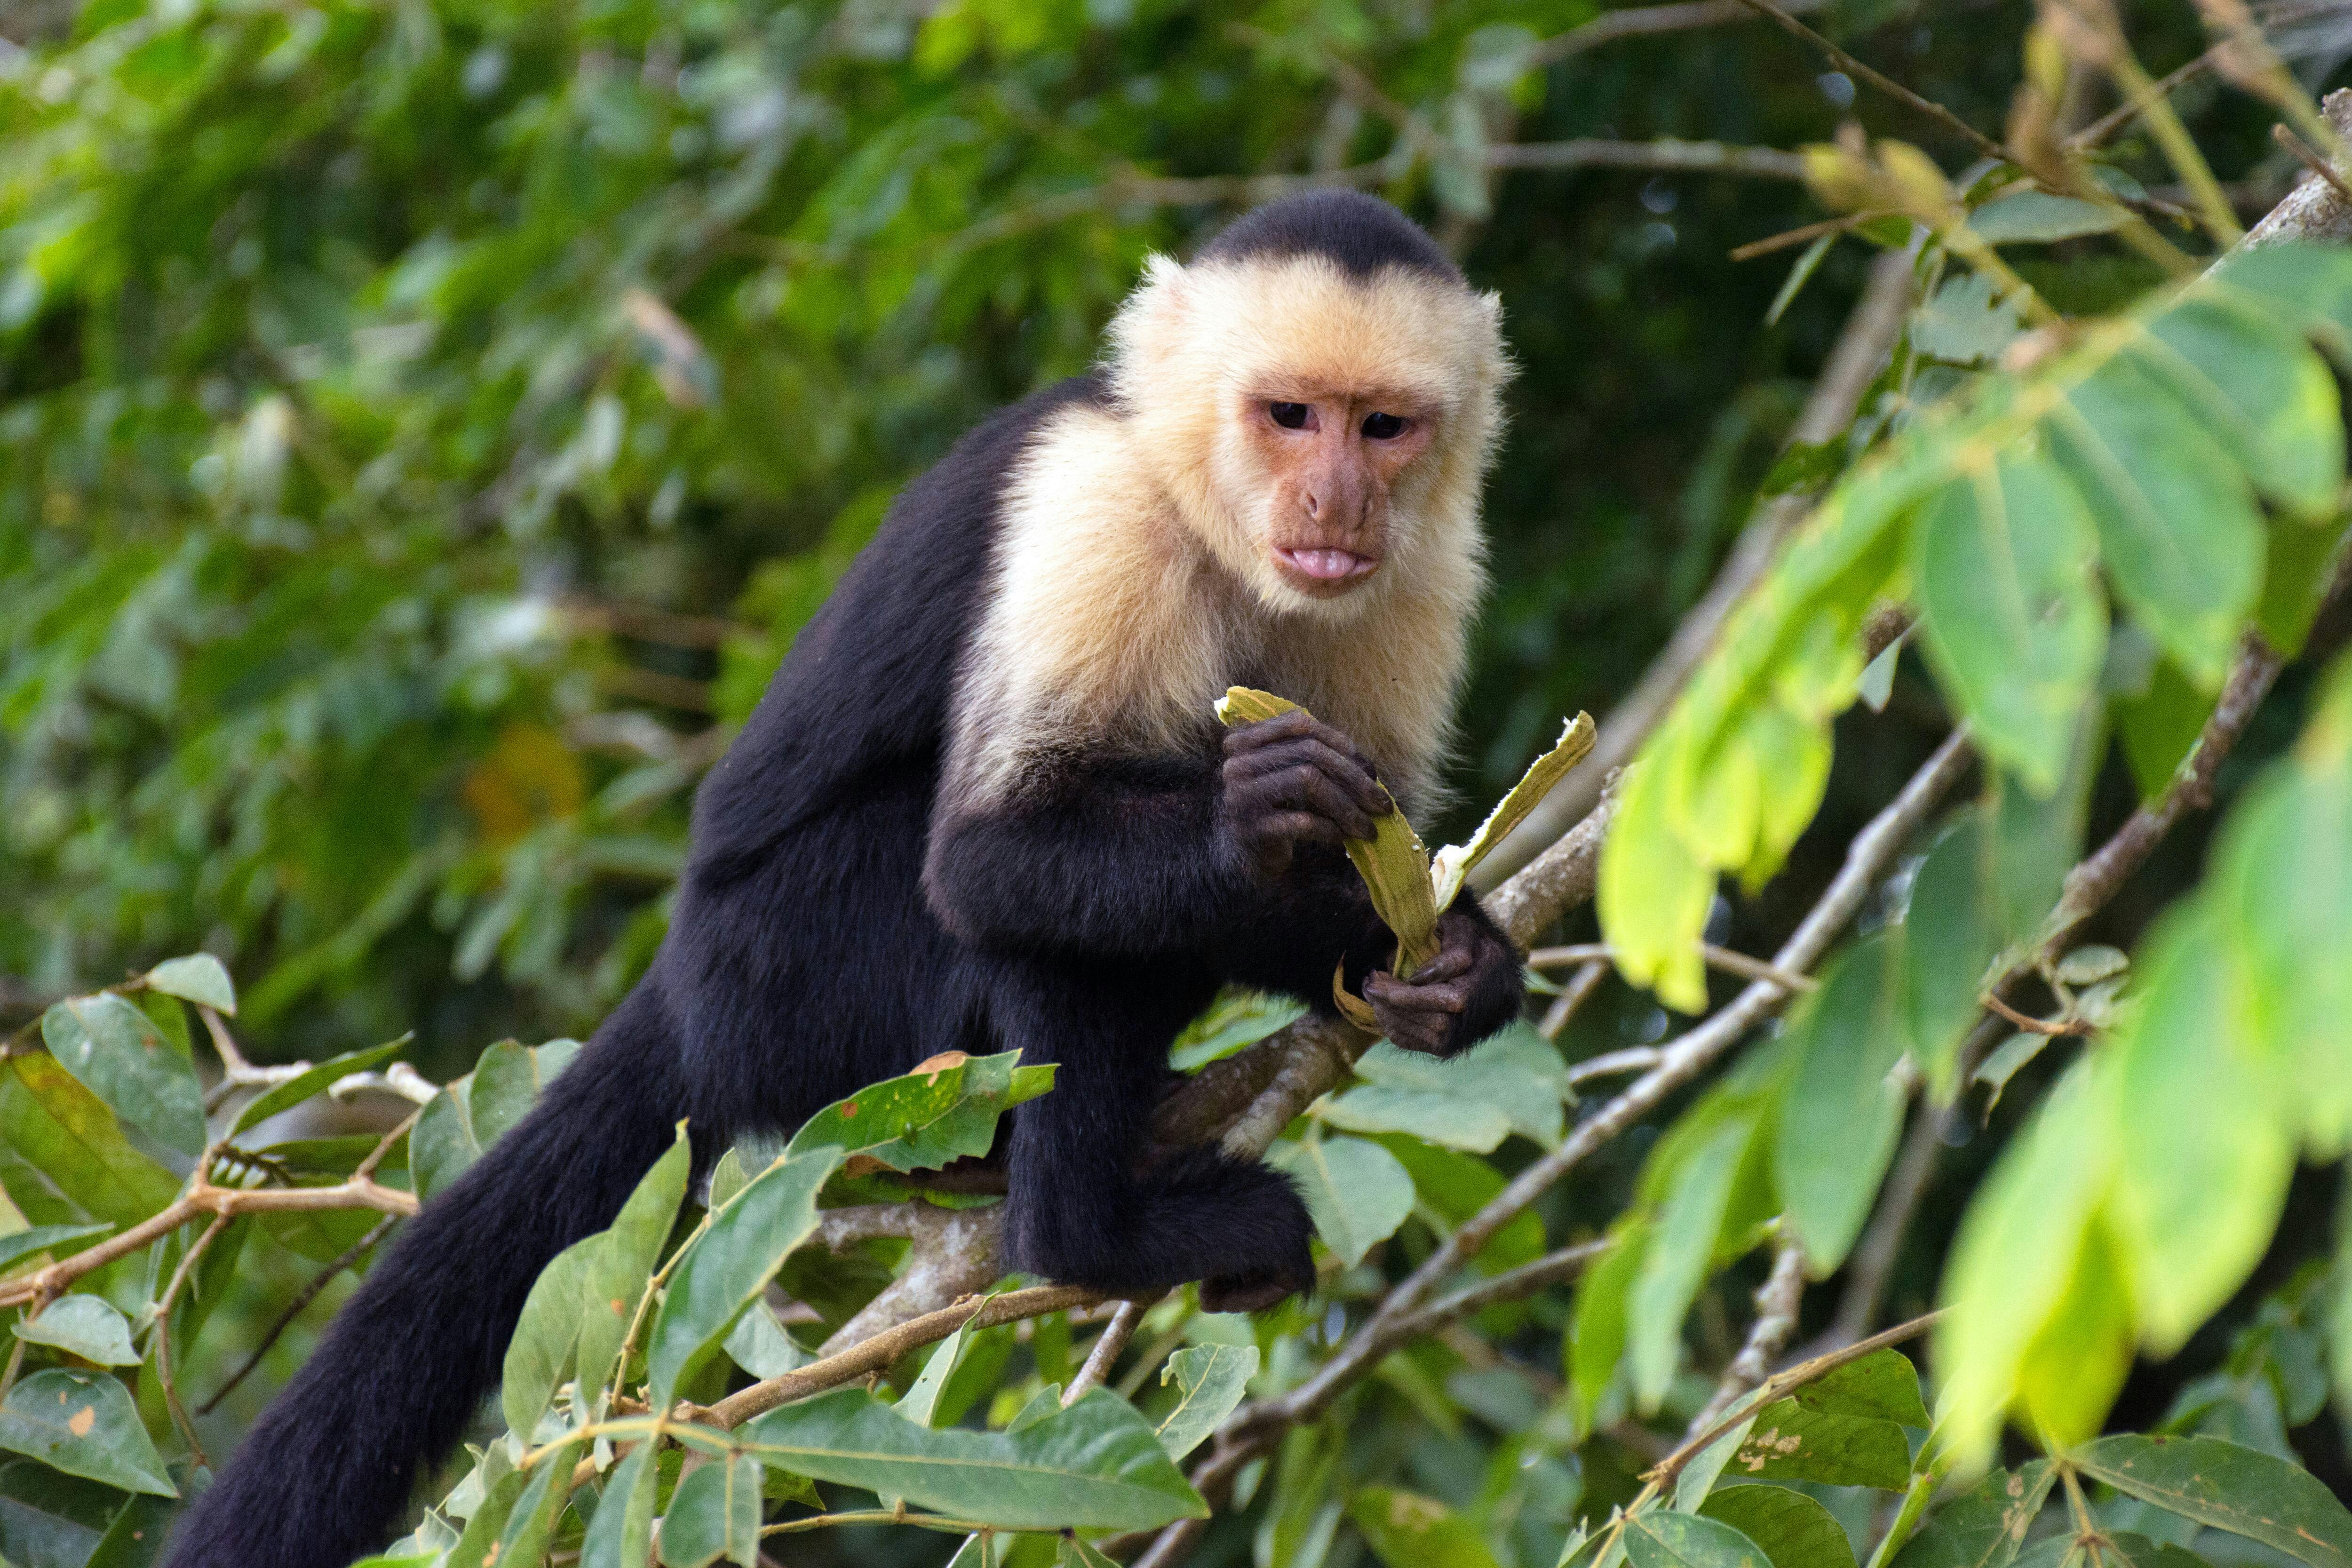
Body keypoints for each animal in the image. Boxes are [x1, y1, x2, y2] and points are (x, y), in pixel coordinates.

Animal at [166, 187, 1524, 1568]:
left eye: (1383, 427)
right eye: (1288, 414)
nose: (1337, 497)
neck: (1215, 525)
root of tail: (684, 991)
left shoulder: (1423, 580)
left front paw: (1452, 968)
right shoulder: (1094, 507)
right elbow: (988, 857)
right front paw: (1256, 819)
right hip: (791, 980)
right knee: (1013, 906)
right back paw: (1088, 1234)